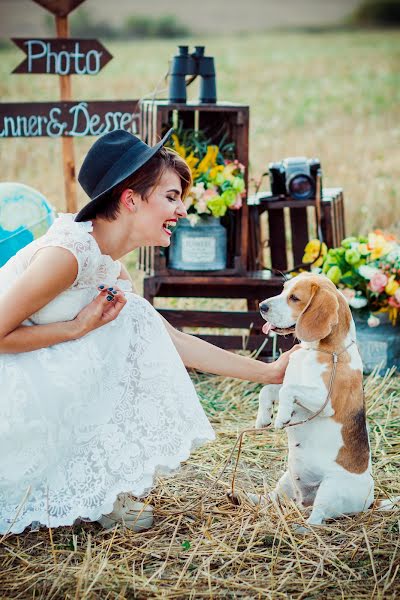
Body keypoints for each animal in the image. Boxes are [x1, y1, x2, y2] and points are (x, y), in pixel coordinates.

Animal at [255, 272, 374, 524]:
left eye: (294, 298)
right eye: (283, 289)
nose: (262, 306)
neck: (316, 350)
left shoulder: (325, 402)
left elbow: (287, 390)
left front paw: (281, 417)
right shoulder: (288, 381)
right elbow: (269, 389)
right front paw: (264, 417)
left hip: (330, 489)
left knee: (317, 519)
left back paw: (303, 527)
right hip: (286, 479)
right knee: (270, 498)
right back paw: (242, 498)